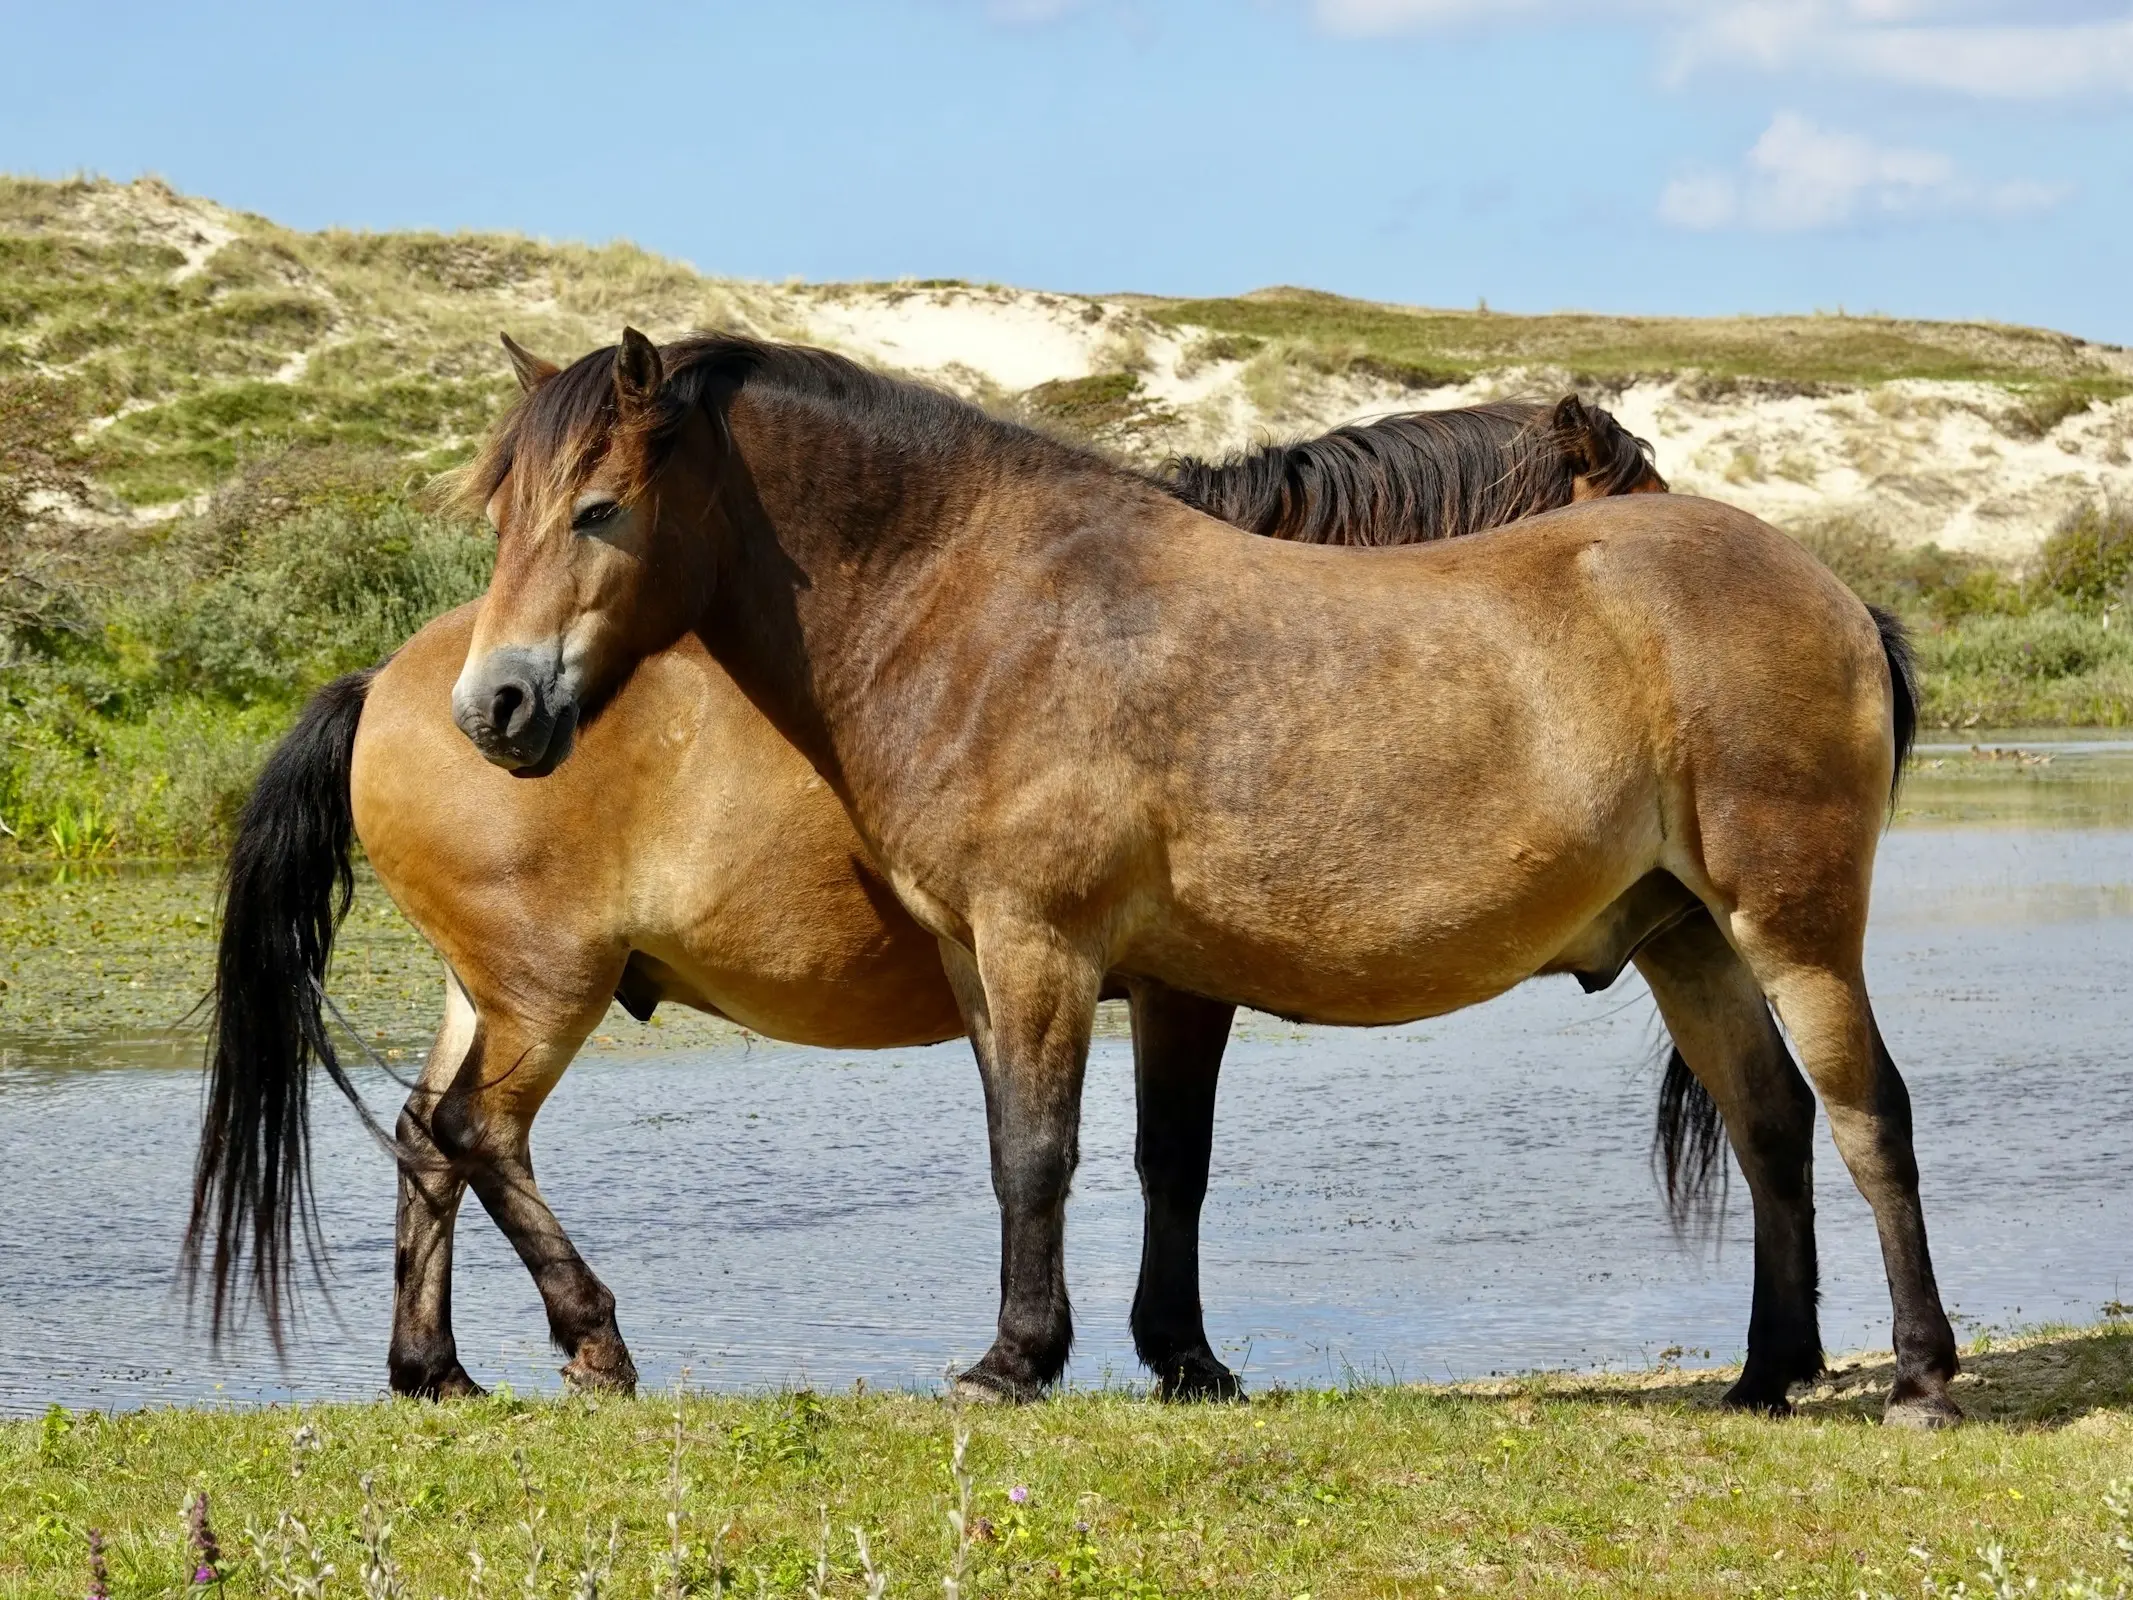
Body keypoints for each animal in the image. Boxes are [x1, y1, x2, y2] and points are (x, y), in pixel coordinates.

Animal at [441, 334, 1953, 1425]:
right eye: (503, 509)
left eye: (599, 510)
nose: (494, 708)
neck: (979, 608)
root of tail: (1831, 594)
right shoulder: (1000, 962)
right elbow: (1087, 1154)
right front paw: (1135, 1358)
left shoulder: (1043, 947)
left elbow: (1042, 1153)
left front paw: (1016, 1362)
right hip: (1690, 939)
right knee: (1771, 1124)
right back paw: (1763, 1378)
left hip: (1793, 927)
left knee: (1865, 1113)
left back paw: (1921, 1379)